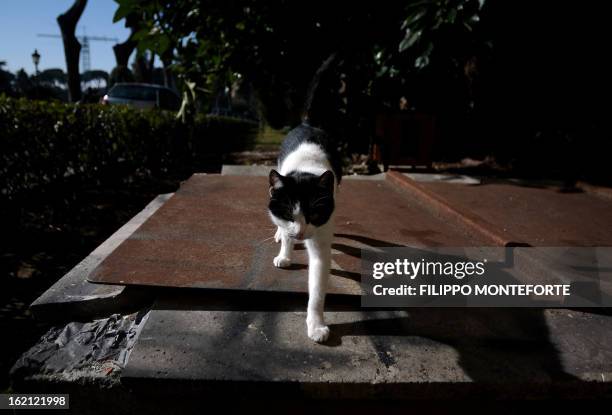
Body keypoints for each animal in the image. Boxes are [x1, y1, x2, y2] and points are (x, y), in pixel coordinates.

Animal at [268, 123, 344, 344]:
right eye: (288, 214)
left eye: (315, 215)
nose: (301, 233)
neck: (305, 169)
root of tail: (306, 124)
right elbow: (286, 233)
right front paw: (285, 255)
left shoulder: (322, 237)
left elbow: (317, 288)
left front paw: (316, 326)